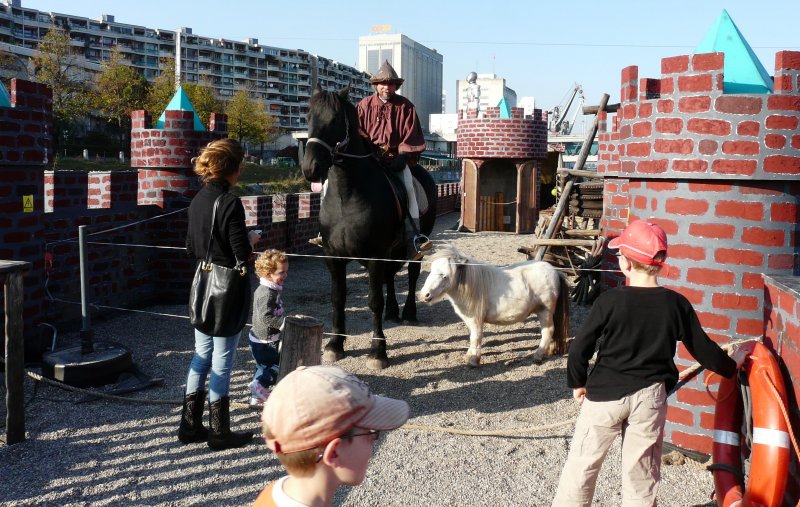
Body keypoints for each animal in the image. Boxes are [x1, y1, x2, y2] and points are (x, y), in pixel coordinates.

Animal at [302, 87, 438, 370]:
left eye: (334, 120)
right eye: (308, 117)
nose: (310, 168)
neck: (346, 196)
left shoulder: (375, 255)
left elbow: (374, 301)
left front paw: (378, 351)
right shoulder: (334, 257)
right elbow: (338, 298)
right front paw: (335, 345)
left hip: (415, 246)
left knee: (411, 274)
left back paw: (408, 311)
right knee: (390, 276)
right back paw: (393, 311)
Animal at [418, 244, 568, 368]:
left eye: (444, 275)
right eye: (431, 270)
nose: (424, 295)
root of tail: (555, 271)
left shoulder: (476, 320)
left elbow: (475, 337)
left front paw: (473, 361)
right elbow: (472, 337)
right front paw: (469, 356)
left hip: (544, 311)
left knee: (548, 331)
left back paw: (538, 355)